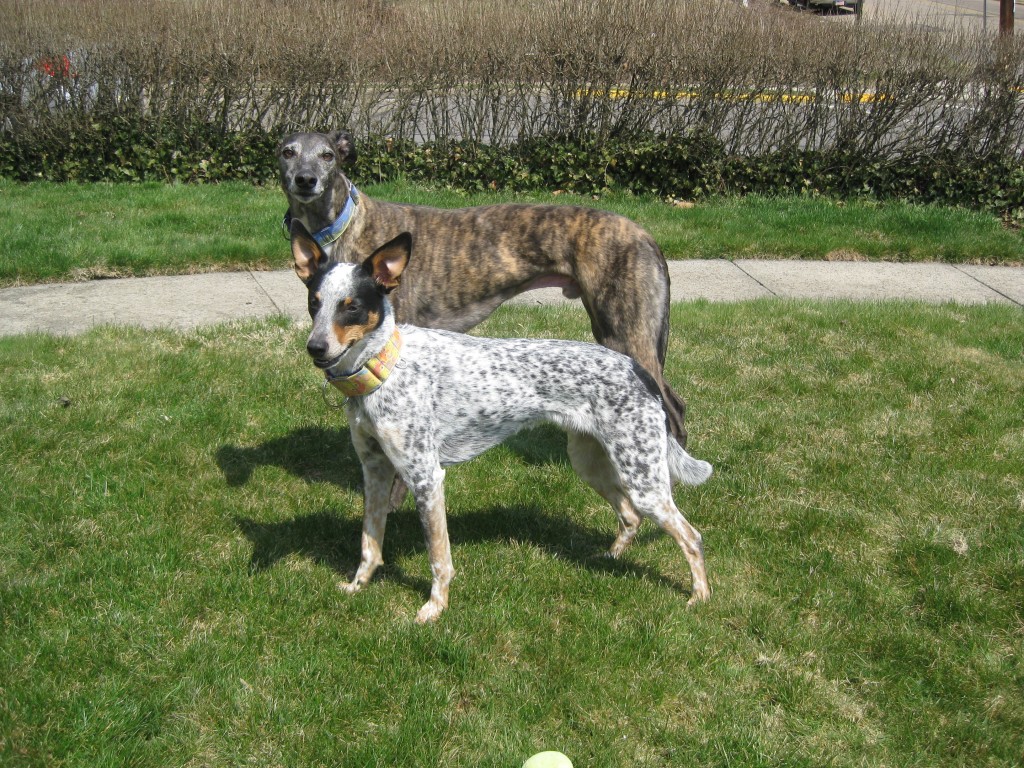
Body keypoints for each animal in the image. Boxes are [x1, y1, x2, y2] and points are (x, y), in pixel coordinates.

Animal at [292, 224, 716, 626]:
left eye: (351, 308)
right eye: (314, 303)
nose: (315, 348)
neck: (385, 368)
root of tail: (638, 369)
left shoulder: (426, 478)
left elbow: (439, 559)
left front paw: (435, 608)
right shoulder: (375, 469)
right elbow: (370, 544)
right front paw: (357, 586)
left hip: (644, 480)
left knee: (691, 536)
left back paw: (700, 596)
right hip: (590, 462)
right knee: (629, 517)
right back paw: (608, 559)